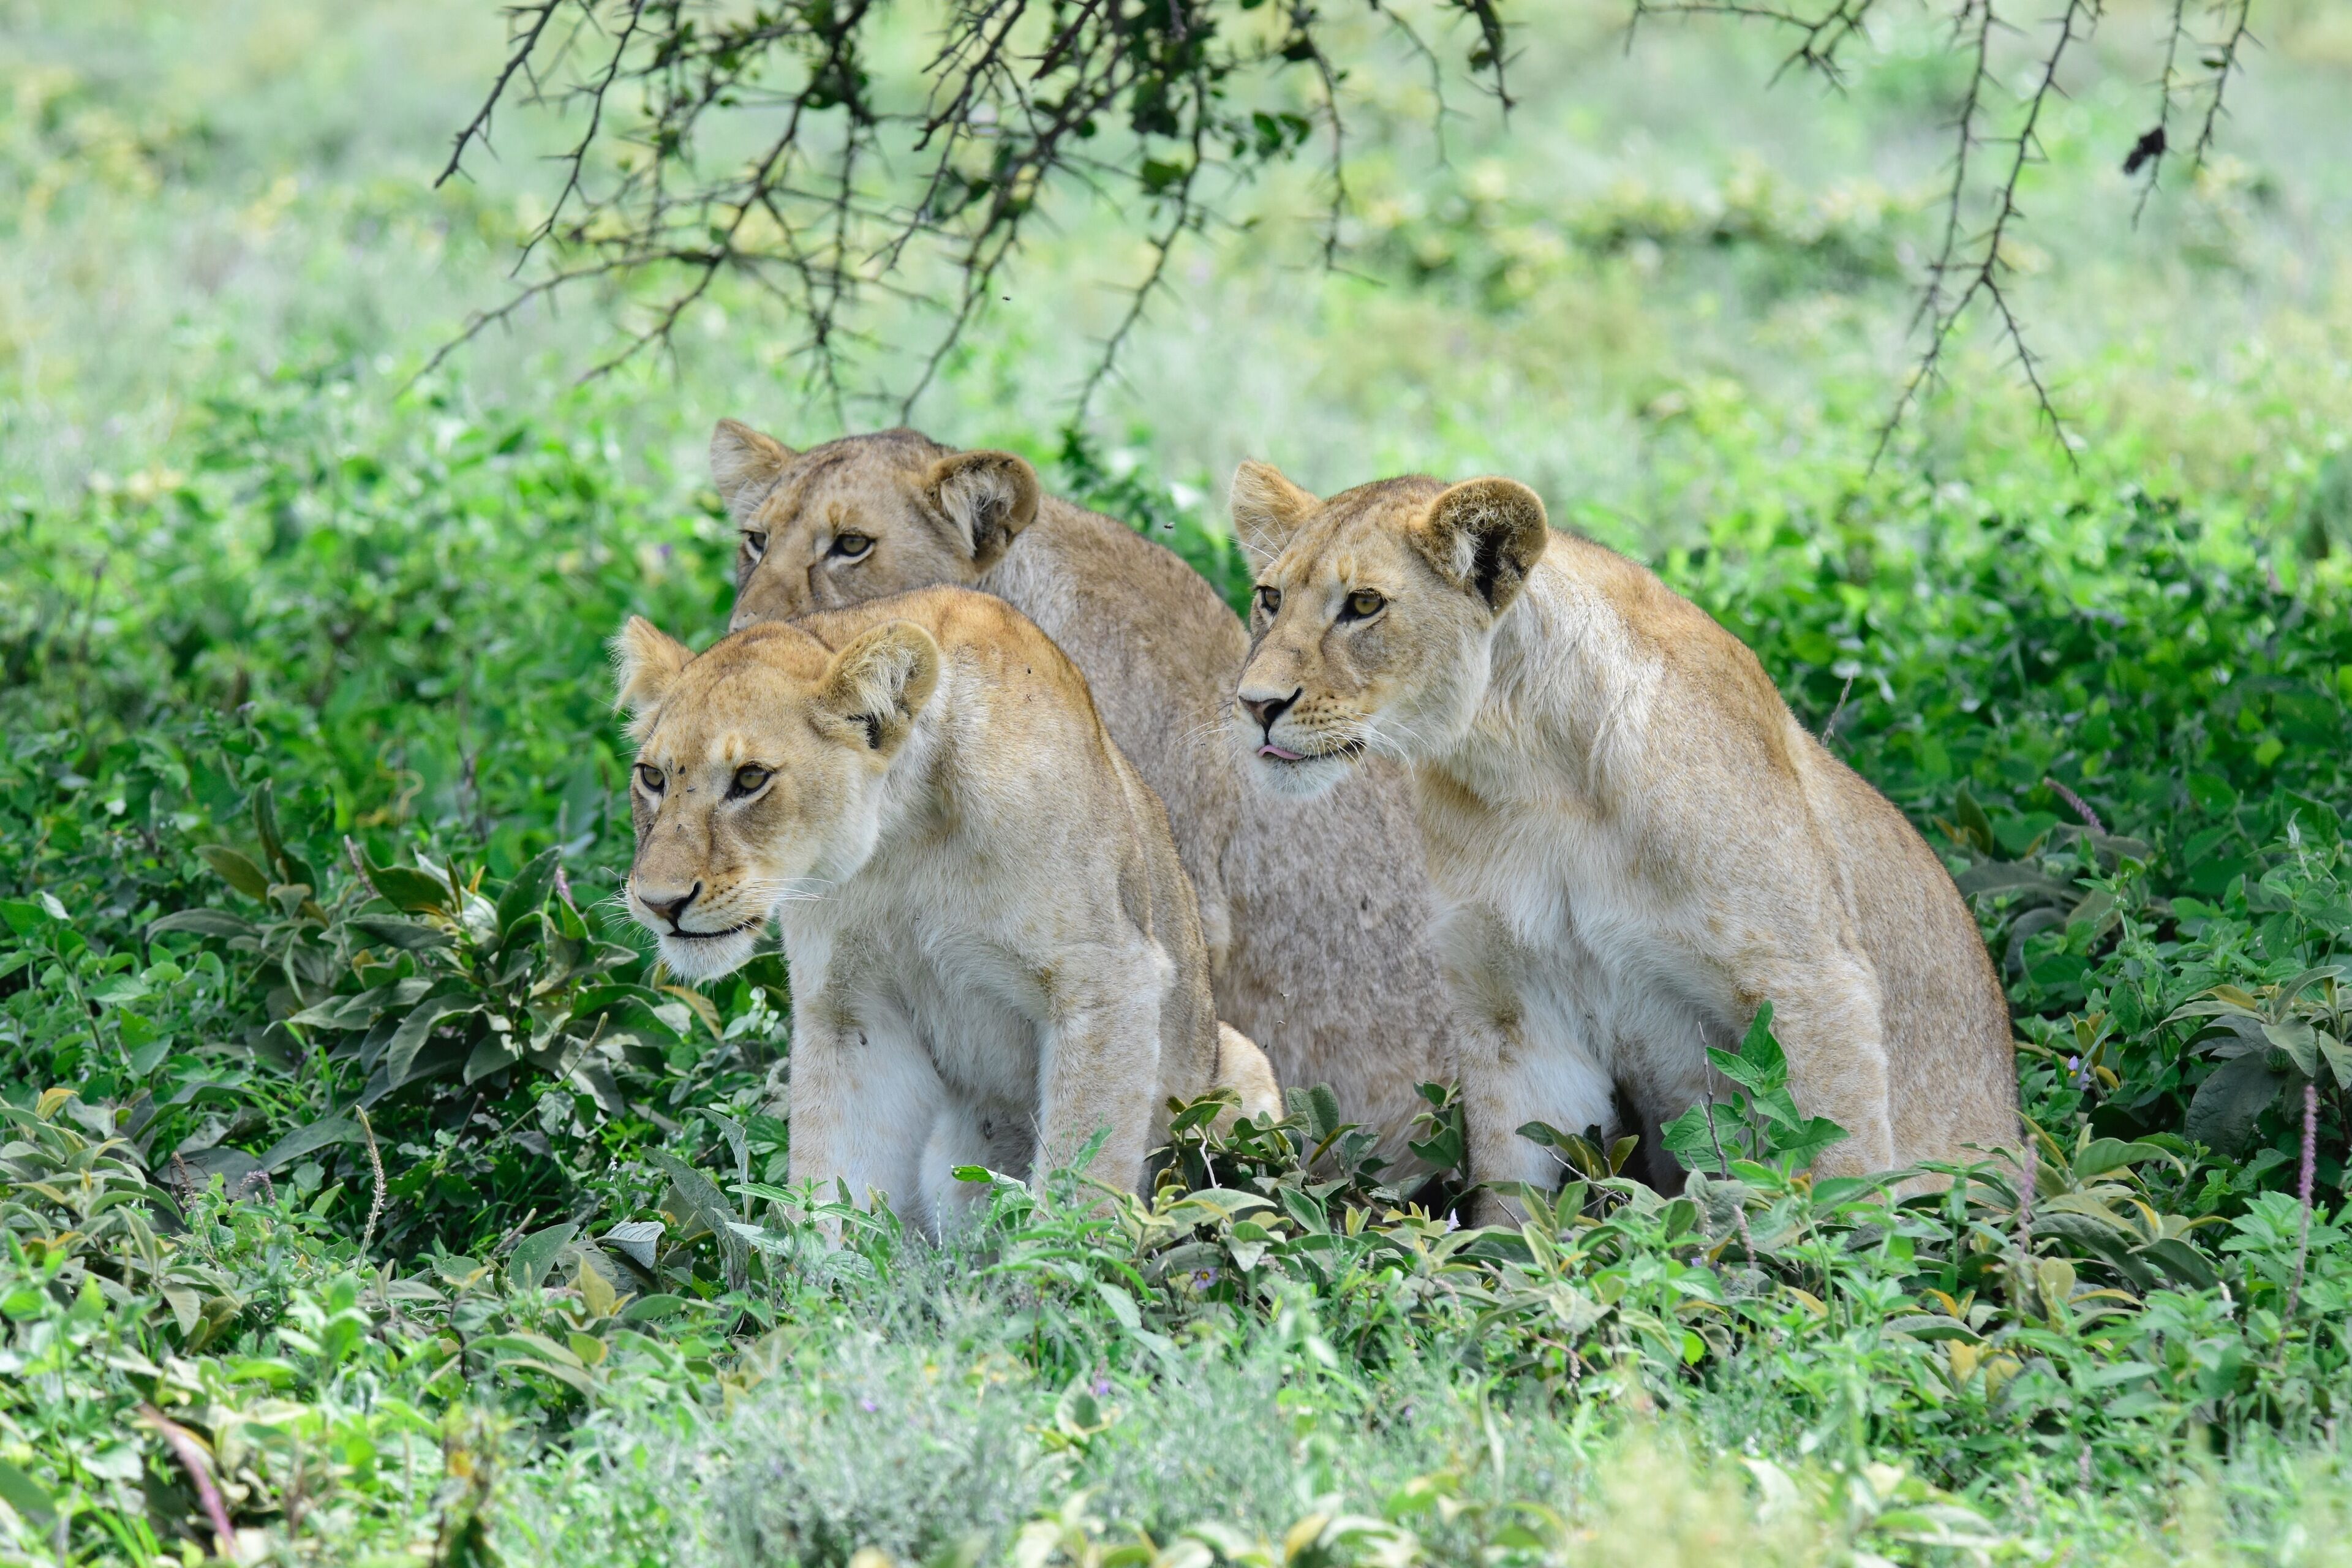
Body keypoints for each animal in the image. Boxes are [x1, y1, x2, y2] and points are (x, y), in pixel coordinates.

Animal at [613, 585, 1280, 1236]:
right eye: (651, 777)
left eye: (751, 779)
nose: (660, 902)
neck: (900, 841)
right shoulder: (852, 1007)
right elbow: (834, 1184)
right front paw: (820, 1271)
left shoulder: (1109, 980)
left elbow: (1081, 1175)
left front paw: (1054, 1267)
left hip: (1241, 1074)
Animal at [1225, 462, 2016, 1221]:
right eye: (1269, 597)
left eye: (1364, 605)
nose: (1255, 704)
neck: (1531, 772)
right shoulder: (1518, 1005)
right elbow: (1513, 1201)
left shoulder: (1813, 978)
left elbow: (1836, 1173)